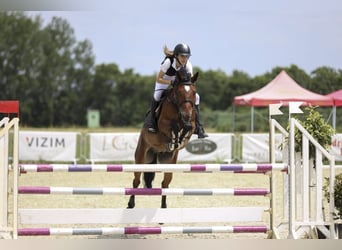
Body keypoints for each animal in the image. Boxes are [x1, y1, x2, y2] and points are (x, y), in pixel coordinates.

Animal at [127, 66, 198, 209]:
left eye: (194, 92)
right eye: (179, 92)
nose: (186, 114)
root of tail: (156, 151)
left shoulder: (191, 124)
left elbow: (188, 127)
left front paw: (179, 140)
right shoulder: (163, 124)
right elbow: (173, 126)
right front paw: (175, 138)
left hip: (169, 161)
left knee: (165, 184)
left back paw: (164, 206)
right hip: (141, 156)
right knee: (136, 181)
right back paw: (131, 204)